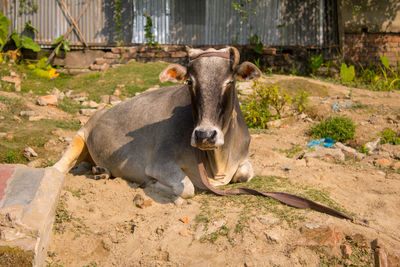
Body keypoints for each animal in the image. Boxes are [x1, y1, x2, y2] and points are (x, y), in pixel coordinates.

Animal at [54, 47, 262, 202]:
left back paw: (102, 171)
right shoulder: (160, 163)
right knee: (60, 167)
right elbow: (187, 188)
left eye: (230, 82)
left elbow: (245, 174)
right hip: (79, 136)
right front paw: (151, 184)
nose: (205, 135)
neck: (218, 162)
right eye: (189, 82)